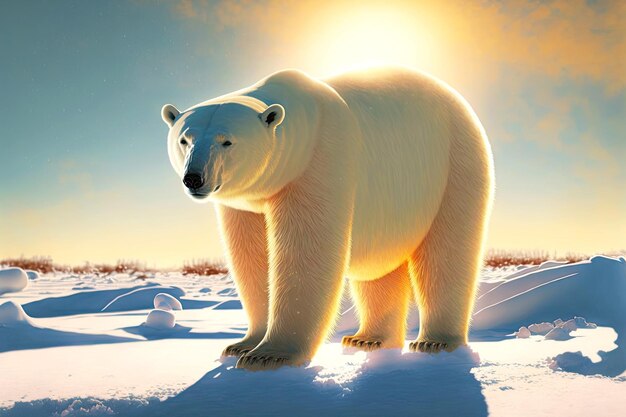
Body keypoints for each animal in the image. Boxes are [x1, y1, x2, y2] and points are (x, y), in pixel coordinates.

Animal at [161, 66, 492, 368]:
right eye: (184, 140)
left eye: (227, 141)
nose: (194, 178)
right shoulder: (245, 204)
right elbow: (251, 259)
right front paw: (242, 344)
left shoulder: (320, 161)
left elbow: (306, 253)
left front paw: (269, 356)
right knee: (378, 269)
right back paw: (369, 339)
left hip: (454, 163)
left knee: (446, 254)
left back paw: (435, 341)